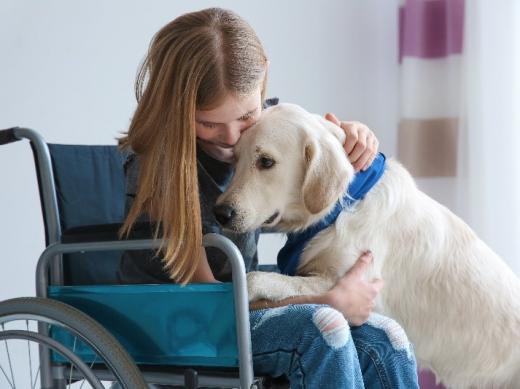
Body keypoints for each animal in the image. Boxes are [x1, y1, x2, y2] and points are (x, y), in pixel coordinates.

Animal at [216, 101, 520, 386]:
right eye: (235, 160)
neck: (339, 207)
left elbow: (260, 277)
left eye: (266, 161)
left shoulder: (352, 282)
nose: (221, 213)